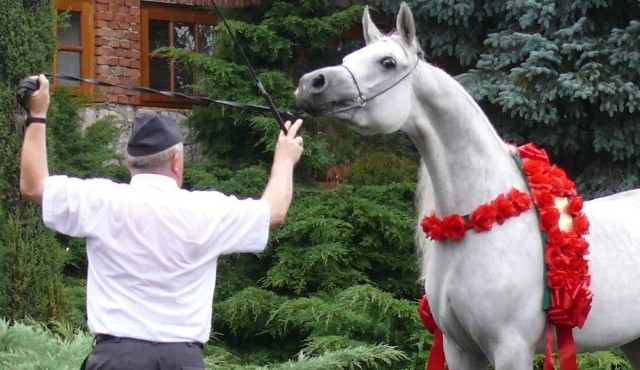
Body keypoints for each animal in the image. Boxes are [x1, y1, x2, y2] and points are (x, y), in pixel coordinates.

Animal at [296, 2, 640, 368]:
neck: (479, 220)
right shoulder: (460, 349)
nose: (310, 84)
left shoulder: (511, 349)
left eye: (387, 62)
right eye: (350, 57)